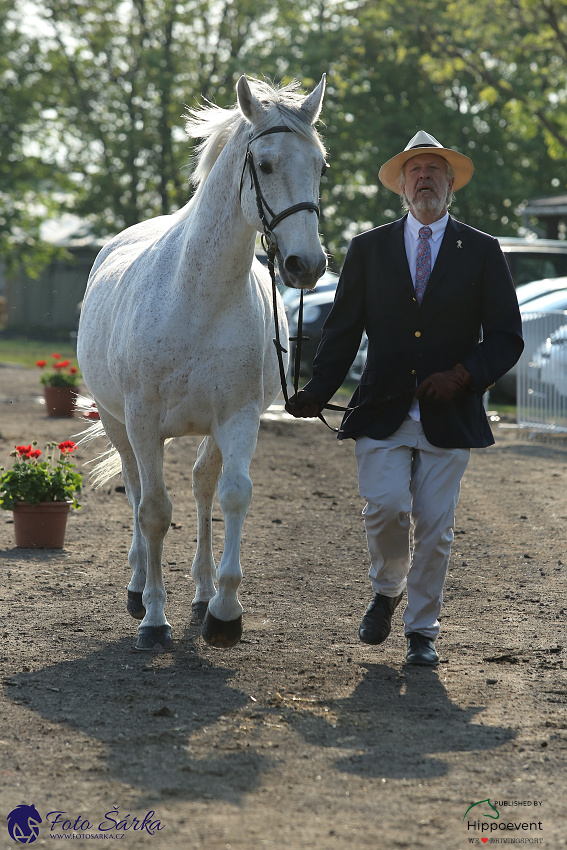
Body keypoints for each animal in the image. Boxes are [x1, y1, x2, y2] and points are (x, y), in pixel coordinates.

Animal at [79, 78, 328, 648]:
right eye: (265, 164)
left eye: (320, 166)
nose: (307, 265)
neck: (198, 298)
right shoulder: (143, 421)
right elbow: (152, 511)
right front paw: (153, 619)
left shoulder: (238, 417)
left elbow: (233, 496)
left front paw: (224, 611)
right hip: (119, 424)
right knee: (136, 490)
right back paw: (137, 587)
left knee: (201, 486)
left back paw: (202, 591)